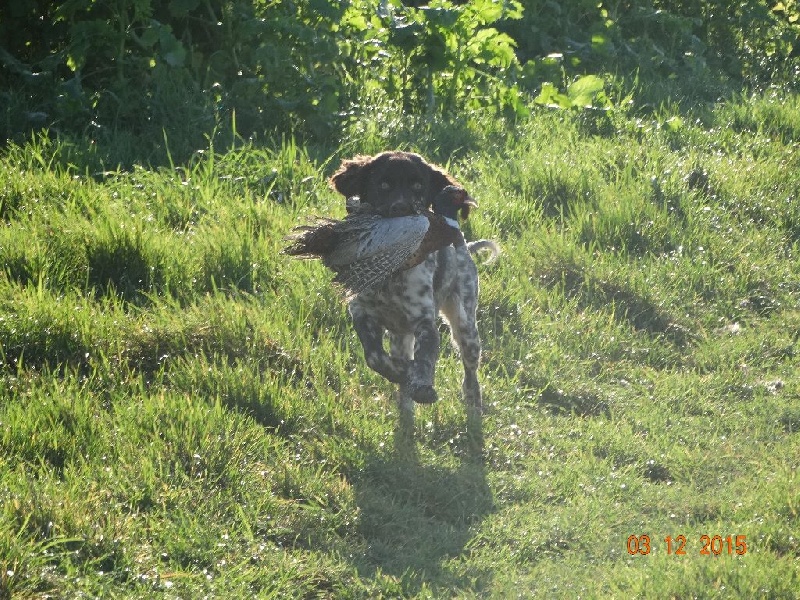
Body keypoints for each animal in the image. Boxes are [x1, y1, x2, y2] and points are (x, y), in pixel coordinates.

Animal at [328, 151, 496, 412]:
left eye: (418, 187)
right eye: (383, 185)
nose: (402, 208)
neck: (393, 273)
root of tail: (462, 242)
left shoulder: (424, 321)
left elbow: (424, 360)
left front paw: (422, 387)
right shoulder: (362, 313)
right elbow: (374, 357)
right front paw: (399, 373)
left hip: (465, 325)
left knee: (470, 372)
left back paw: (472, 403)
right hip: (401, 336)